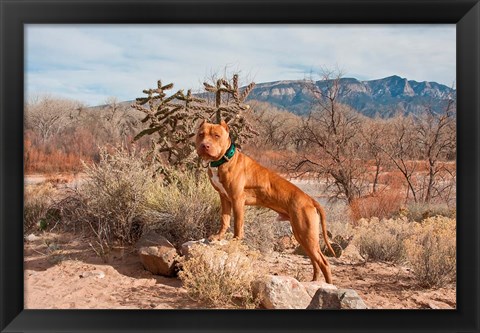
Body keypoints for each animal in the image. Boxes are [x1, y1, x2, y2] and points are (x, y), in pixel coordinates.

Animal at [195, 119, 334, 282]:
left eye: (216, 136)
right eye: (201, 134)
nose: (205, 145)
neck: (223, 161)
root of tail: (310, 200)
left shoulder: (237, 199)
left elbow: (237, 225)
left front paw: (235, 242)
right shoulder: (224, 198)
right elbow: (225, 220)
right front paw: (218, 237)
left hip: (306, 234)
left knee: (324, 263)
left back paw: (328, 285)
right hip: (302, 235)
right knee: (315, 261)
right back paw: (313, 282)